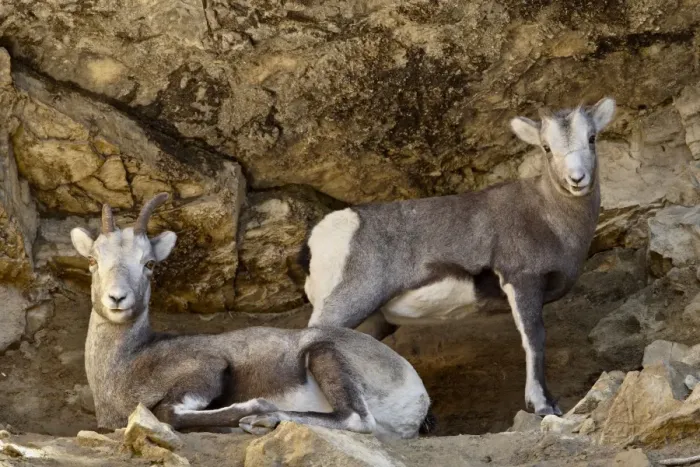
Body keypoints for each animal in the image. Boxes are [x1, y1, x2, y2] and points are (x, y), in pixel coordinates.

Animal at [69, 193, 431, 439]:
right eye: (92, 260)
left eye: (149, 263)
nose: (117, 298)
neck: (127, 364)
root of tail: (417, 395)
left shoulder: (208, 369)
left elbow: (168, 412)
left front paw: (254, 408)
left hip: (323, 353)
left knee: (356, 418)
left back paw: (262, 420)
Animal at [299, 97, 616, 416]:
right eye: (546, 147)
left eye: (592, 137)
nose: (577, 179)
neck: (550, 216)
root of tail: (316, 242)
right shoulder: (522, 282)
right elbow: (534, 338)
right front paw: (543, 405)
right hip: (347, 303)